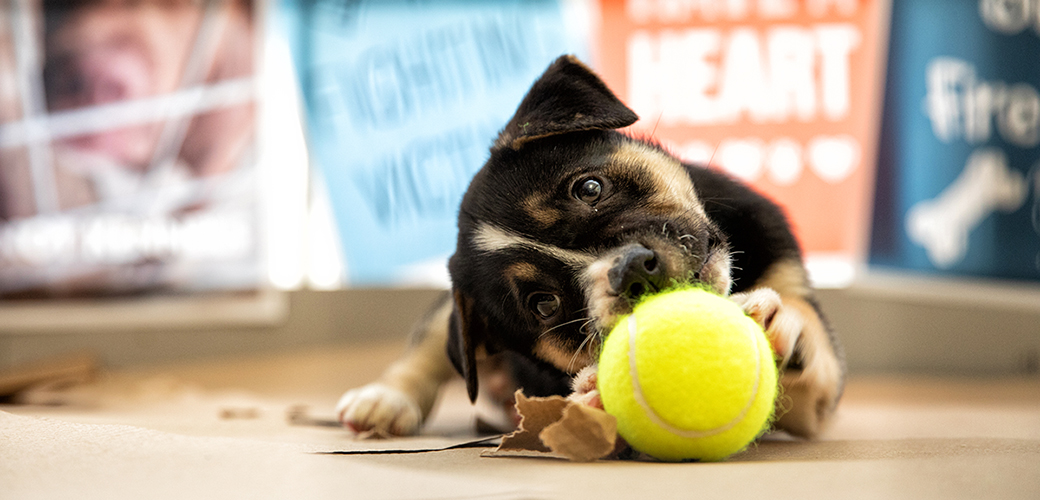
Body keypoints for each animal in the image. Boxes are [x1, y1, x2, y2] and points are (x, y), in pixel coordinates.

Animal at [339, 53, 844, 436]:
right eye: (543, 304)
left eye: (589, 188)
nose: (633, 268)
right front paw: (594, 397)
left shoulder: (816, 397)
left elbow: (809, 356)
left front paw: (779, 324)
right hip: (448, 311)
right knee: (428, 348)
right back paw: (383, 400)